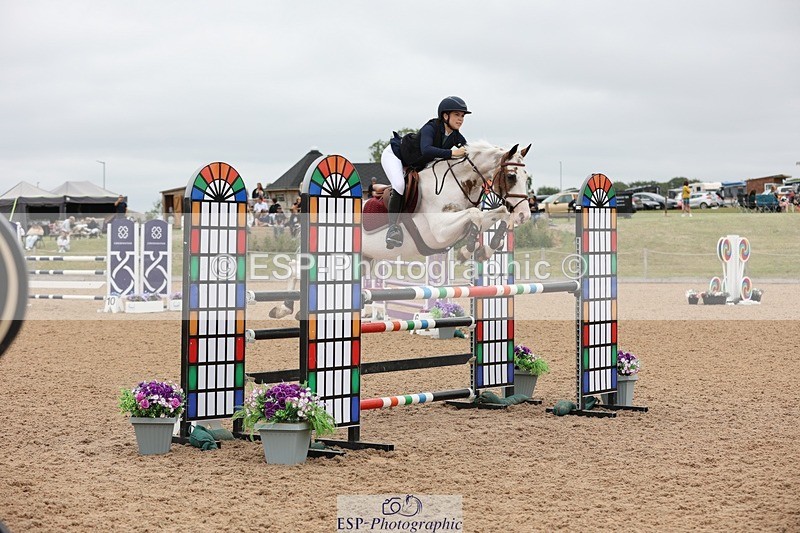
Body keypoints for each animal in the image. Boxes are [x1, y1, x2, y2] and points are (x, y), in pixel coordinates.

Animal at [268, 141, 532, 319]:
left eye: (526, 176)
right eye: (511, 176)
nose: (525, 215)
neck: (454, 182)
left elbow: (494, 214)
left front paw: (484, 248)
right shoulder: (438, 232)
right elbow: (476, 215)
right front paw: (467, 250)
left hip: (360, 260)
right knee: (295, 267)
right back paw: (283, 308)